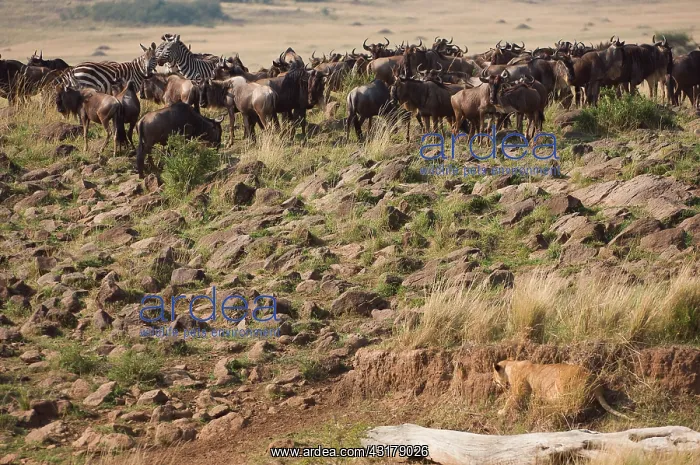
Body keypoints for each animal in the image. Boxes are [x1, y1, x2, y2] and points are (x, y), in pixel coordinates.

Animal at [492, 360, 632, 420]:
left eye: (494, 378)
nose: (494, 384)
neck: (511, 364)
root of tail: (595, 383)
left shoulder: (520, 391)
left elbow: (510, 401)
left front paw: (501, 412)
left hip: (563, 384)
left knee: (567, 406)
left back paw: (543, 407)